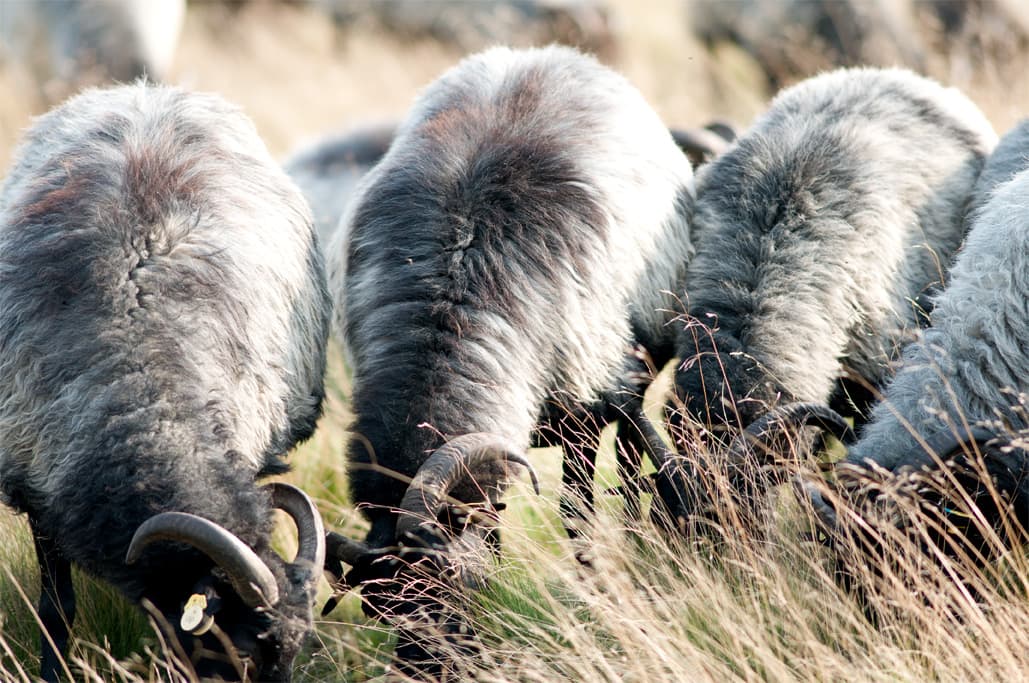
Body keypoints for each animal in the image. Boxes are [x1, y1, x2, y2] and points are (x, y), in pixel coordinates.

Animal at [327, 43, 699, 670]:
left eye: (450, 587)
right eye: (378, 609)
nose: (424, 673)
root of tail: (541, 53)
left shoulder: (583, 417)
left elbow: (576, 518)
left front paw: (596, 593)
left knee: (624, 475)